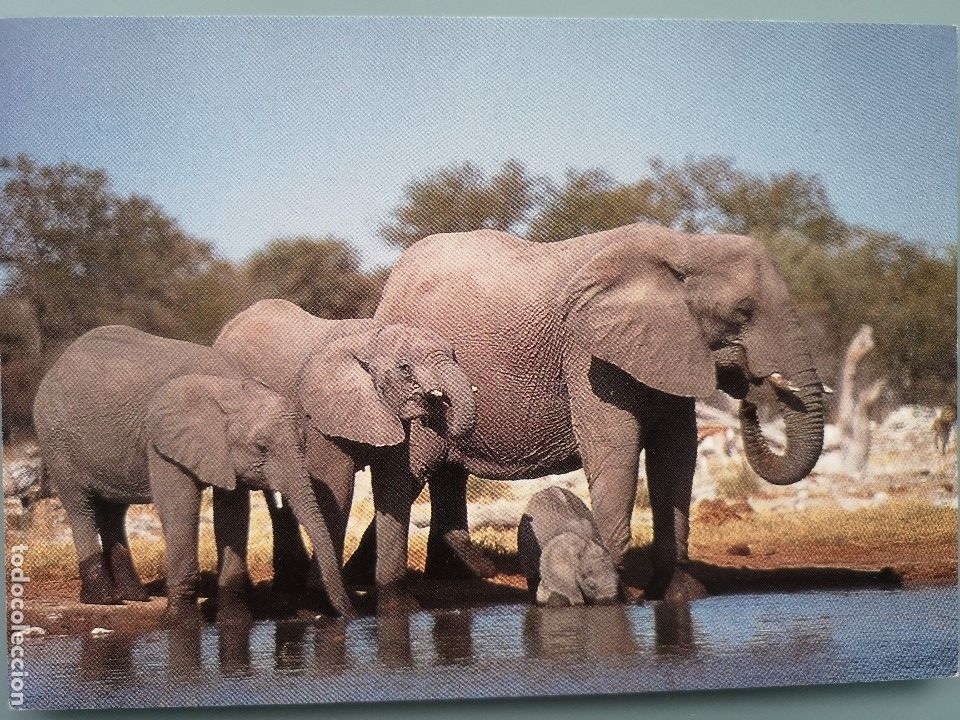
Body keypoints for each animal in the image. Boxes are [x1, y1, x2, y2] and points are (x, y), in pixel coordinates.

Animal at [32, 325, 352, 622]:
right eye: (261, 447)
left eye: (304, 444)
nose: (346, 615)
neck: (228, 387)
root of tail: (57, 364)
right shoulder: (162, 440)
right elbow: (180, 506)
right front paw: (180, 621)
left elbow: (233, 513)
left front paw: (234, 619)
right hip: (55, 439)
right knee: (80, 505)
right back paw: (104, 599)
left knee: (114, 511)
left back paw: (135, 596)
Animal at [213, 299, 479, 610]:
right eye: (405, 369)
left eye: (455, 355)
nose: (435, 409)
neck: (368, 340)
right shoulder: (323, 417)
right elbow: (338, 488)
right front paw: (321, 599)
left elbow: (394, 487)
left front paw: (397, 602)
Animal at [366, 223, 827, 601]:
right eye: (744, 312)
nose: (751, 391)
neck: (686, 246)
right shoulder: (589, 355)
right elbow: (615, 446)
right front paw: (615, 591)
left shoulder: (670, 349)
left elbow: (676, 455)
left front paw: (679, 594)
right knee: (416, 467)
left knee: (445, 471)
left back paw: (462, 573)